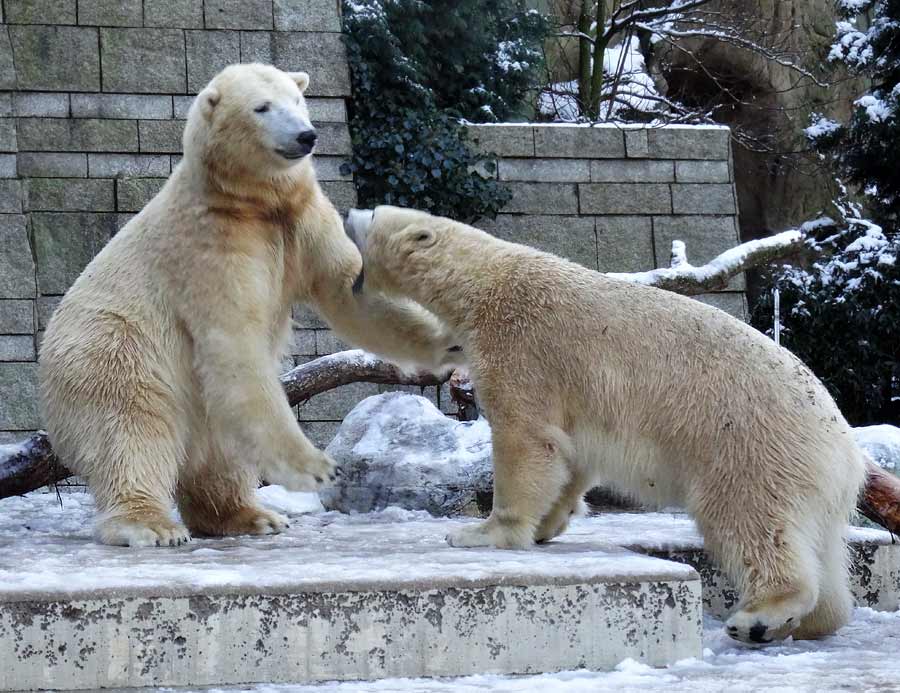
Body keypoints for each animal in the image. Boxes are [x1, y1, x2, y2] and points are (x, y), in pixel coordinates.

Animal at [37, 66, 458, 552]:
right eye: (262, 107)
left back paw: (250, 515)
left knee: (220, 451)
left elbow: (350, 290)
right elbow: (235, 341)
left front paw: (449, 347)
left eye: (298, 100)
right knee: (132, 429)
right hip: (113, 353)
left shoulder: (304, 220)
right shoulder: (211, 246)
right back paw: (152, 525)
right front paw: (316, 467)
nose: (306, 136)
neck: (250, 203)